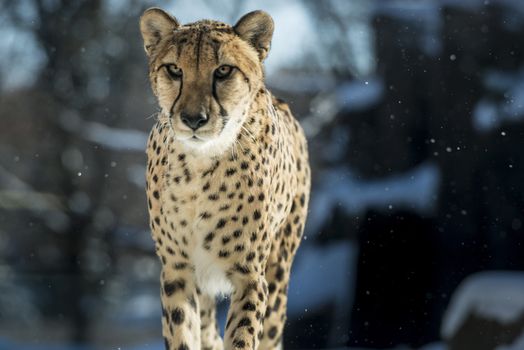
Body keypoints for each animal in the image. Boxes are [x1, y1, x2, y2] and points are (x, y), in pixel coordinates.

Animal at [140, 8, 312, 350]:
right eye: (174, 69)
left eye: (223, 71)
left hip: (279, 270)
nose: (194, 119)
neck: (198, 164)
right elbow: (183, 333)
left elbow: (243, 336)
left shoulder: (250, 276)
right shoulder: (177, 270)